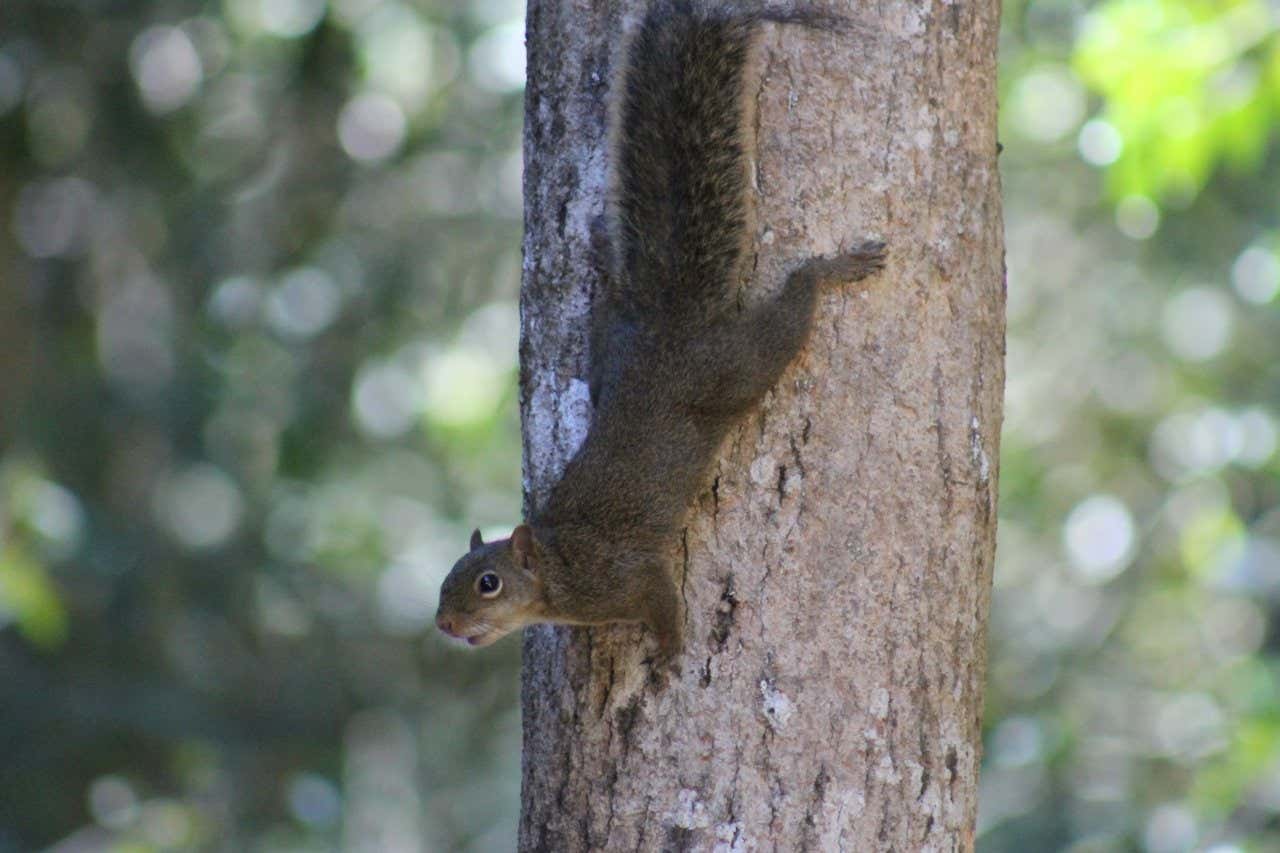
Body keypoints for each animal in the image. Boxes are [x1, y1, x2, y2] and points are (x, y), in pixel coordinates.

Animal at [435, 1, 885, 671]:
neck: (559, 567)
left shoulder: (631, 575)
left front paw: (670, 654)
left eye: (488, 583)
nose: (443, 623)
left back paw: (831, 270)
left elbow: (665, 603)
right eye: (447, 579)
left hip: (735, 366)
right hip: (611, 352)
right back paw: (603, 249)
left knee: (789, 316)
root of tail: (669, 324)